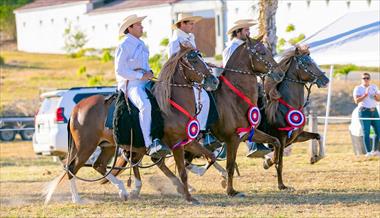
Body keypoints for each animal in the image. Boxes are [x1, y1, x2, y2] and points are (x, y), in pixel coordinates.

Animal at [43, 45, 220, 205]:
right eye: (194, 60)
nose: (214, 80)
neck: (171, 105)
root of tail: (77, 108)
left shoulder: (187, 141)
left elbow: (210, 156)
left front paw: (202, 175)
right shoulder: (176, 144)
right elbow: (183, 171)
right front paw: (189, 197)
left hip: (107, 146)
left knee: (98, 165)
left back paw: (122, 190)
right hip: (85, 147)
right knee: (71, 168)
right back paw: (78, 199)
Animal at [260, 45, 328, 190]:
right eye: (307, 63)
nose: (326, 80)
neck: (285, 107)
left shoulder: (296, 136)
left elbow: (318, 136)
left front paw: (315, 158)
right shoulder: (280, 139)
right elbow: (279, 161)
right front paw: (281, 185)